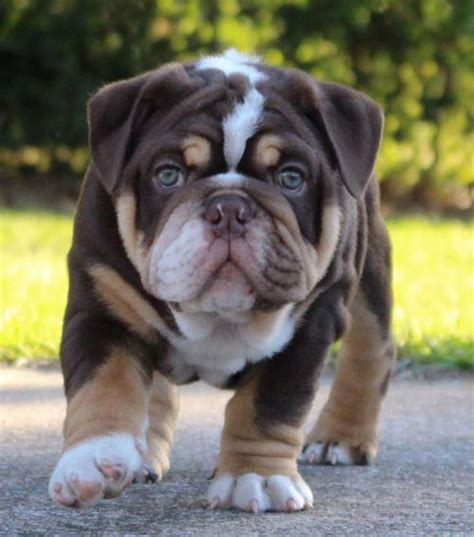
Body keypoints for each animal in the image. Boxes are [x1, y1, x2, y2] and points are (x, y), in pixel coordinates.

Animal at [48, 49, 396, 510]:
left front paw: (256, 476)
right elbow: (105, 381)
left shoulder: (311, 323)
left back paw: (340, 437)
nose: (229, 207)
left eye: (291, 178)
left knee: (371, 351)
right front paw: (94, 459)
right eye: (168, 175)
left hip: (370, 271)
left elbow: (270, 404)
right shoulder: (103, 305)